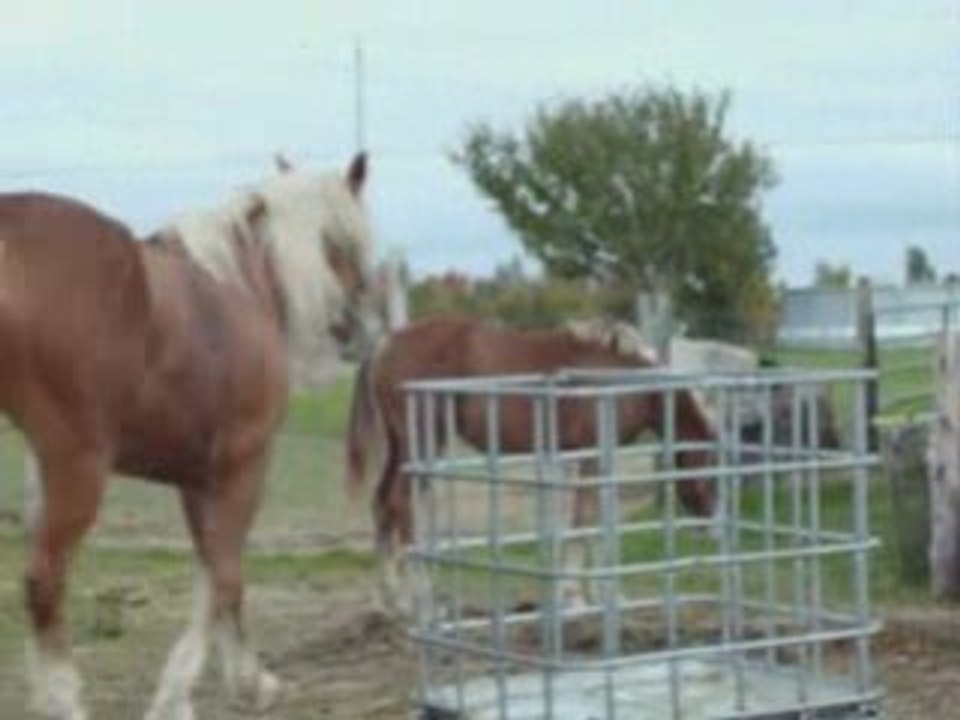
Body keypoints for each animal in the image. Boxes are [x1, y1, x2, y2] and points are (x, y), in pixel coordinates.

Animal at [0, 153, 378, 720]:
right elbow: (223, 576)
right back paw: (64, 701)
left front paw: (241, 680)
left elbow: (216, 575)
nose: (359, 332)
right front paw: (184, 694)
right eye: (346, 241)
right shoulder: (243, 469)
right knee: (44, 580)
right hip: (75, 469)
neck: (240, 284)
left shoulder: (195, 479)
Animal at [345, 317, 719, 615]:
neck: (615, 377)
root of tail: (384, 345)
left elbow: (593, 521)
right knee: (401, 503)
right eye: (709, 470)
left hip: (401, 448)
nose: (710, 524)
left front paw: (604, 596)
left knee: (382, 504)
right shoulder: (591, 456)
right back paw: (421, 599)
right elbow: (585, 520)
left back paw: (390, 602)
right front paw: (576, 597)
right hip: (421, 444)